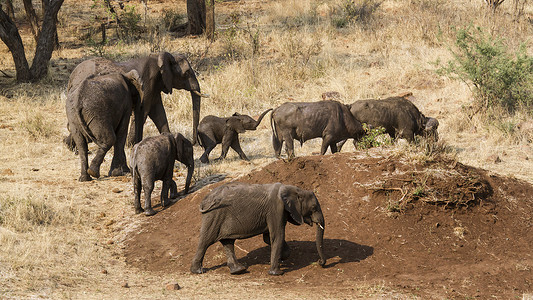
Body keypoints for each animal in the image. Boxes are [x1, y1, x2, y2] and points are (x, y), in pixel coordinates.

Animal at [64, 52, 208, 149]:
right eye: (187, 73)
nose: (195, 143)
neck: (160, 57)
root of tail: (71, 76)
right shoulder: (148, 83)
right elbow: (144, 112)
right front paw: (131, 145)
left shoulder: (155, 87)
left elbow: (158, 113)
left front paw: (168, 138)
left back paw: (69, 146)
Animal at [189, 182, 326, 276]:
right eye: (314, 208)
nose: (319, 262)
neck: (294, 189)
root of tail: (204, 200)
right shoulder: (275, 210)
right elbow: (277, 235)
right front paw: (277, 273)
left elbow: (268, 238)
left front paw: (282, 258)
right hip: (213, 215)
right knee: (206, 241)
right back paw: (198, 271)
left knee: (228, 242)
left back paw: (239, 270)